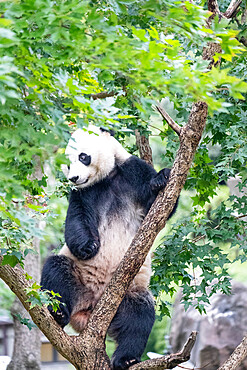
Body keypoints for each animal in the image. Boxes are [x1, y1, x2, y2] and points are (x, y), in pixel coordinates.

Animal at [41, 125, 178, 368]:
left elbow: (161, 206)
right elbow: (76, 219)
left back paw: (126, 359)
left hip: (130, 291)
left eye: (82, 157)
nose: (74, 178)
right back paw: (58, 313)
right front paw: (88, 247)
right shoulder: (82, 194)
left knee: (139, 317)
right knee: (56, 273)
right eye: (68, 162)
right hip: (78, 277)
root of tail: (89, 310)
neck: (106, 178)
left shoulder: (132, 172)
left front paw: (161, 178)